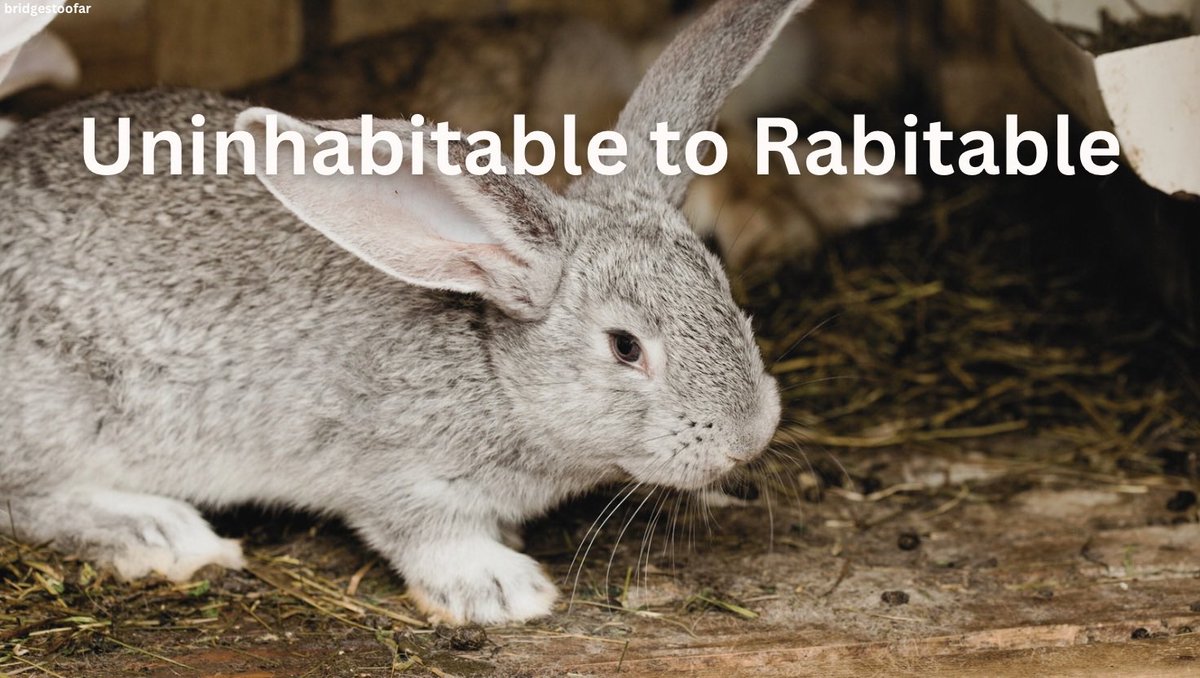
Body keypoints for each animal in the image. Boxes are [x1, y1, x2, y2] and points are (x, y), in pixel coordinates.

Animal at [0, 0, 804, 625]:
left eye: (723, 286)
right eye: (625, 347)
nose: (750, 436)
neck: (492, 367)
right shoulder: (391, 471)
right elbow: (424, 533)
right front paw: (504, 590)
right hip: (64, 412)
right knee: (28, 496)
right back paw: (161, 534)